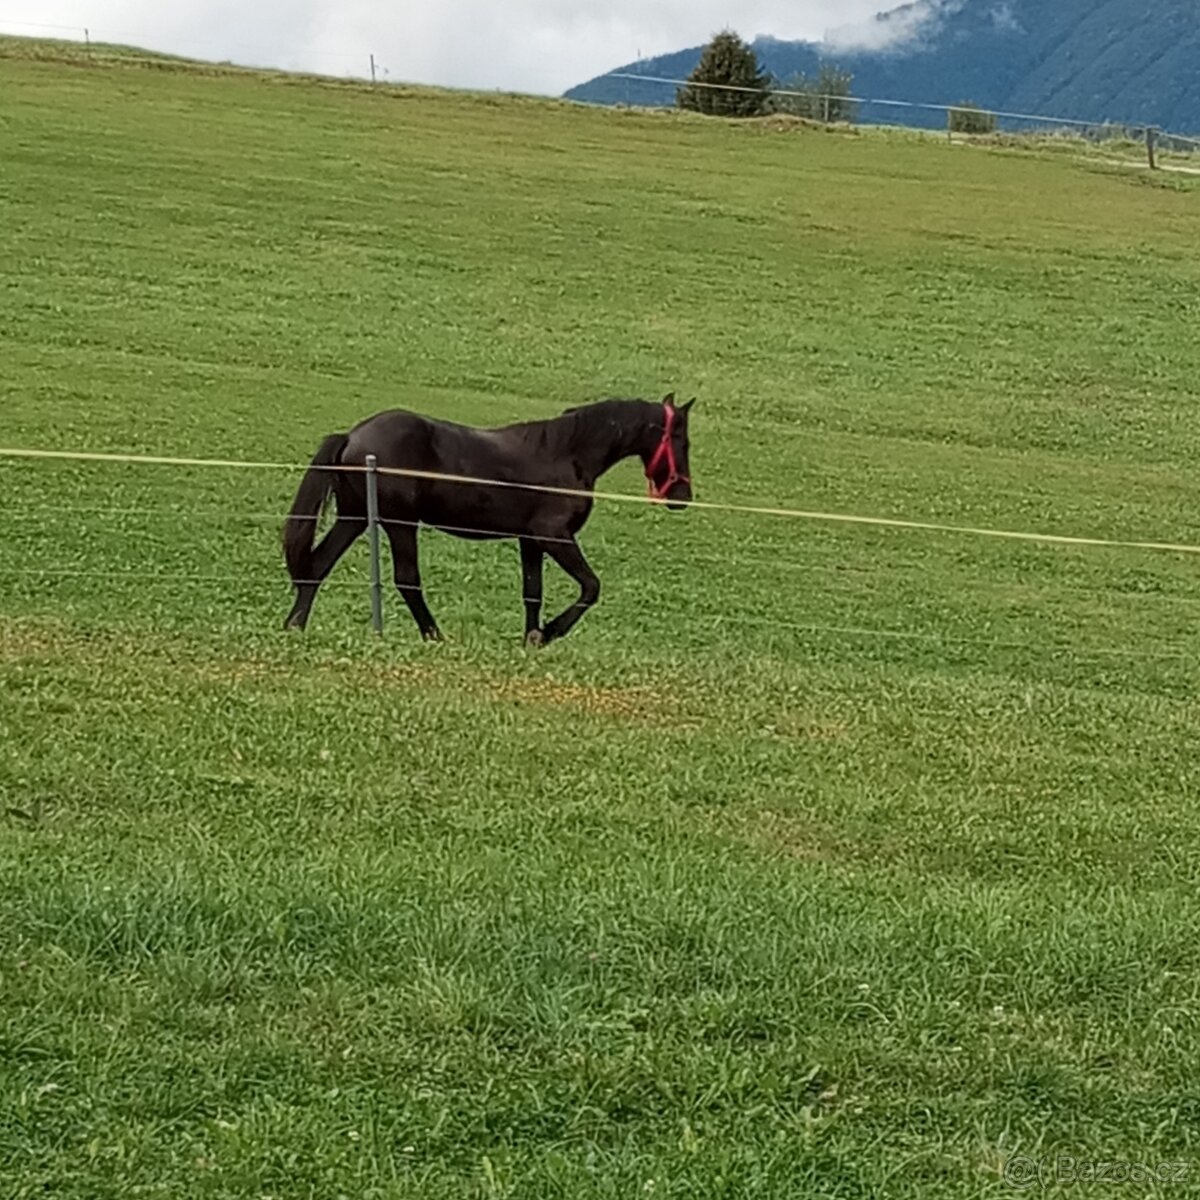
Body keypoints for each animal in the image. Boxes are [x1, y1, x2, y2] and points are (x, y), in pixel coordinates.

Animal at [280, 393, 696, 643]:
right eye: (683, 441)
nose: (682, 497)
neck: (568, 453)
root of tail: (351, 436)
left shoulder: (530, 540)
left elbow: (532, 592)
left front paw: (531, 638)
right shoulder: (554, 535)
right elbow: (591, 587)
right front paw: (549, 633)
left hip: (355, 518)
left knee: (317, 566)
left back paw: (294, 627)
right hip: (400, 524)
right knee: (407, 580)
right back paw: (435, 635)